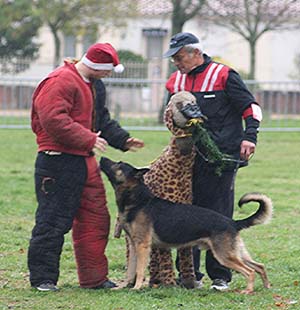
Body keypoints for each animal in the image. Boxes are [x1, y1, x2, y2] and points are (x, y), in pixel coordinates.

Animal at [100, 157, 272, 294]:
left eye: (118, 164)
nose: (101, 157)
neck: (138, 201)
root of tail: (232, 222)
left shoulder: (142, 246)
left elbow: (140, 270)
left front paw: (136, 288)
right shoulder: (134, 246)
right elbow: (130, 271)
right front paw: (123, 287)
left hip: (224, 255)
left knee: (250, 271)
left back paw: (248, 290)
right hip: (236, 252)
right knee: (260, 266)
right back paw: (267, 287)